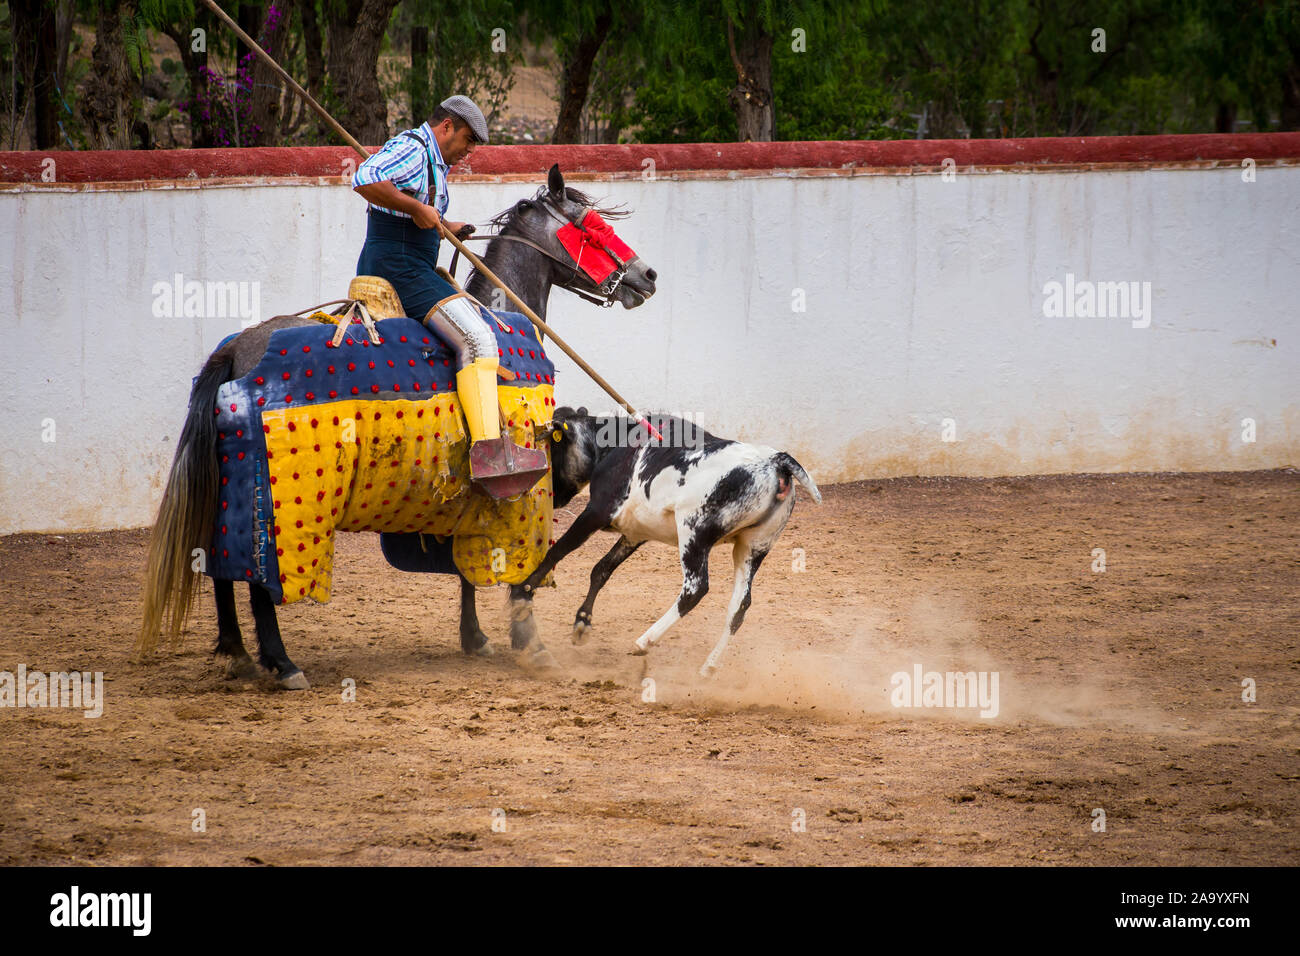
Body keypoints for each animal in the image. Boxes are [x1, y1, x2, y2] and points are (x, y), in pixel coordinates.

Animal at [508, 406, 821, 676]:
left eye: (554, 448)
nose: (556, 497)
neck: (617, 443)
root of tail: (775, 462)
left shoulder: (597, 511)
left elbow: (559, 551)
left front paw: (523, 593)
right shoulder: (635, 533)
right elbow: (601, 570)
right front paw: (582, 623)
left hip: (694, 535)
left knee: (695, 589)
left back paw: (644, 642)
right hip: (753, 548)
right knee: (739, 605)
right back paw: (708, 668)